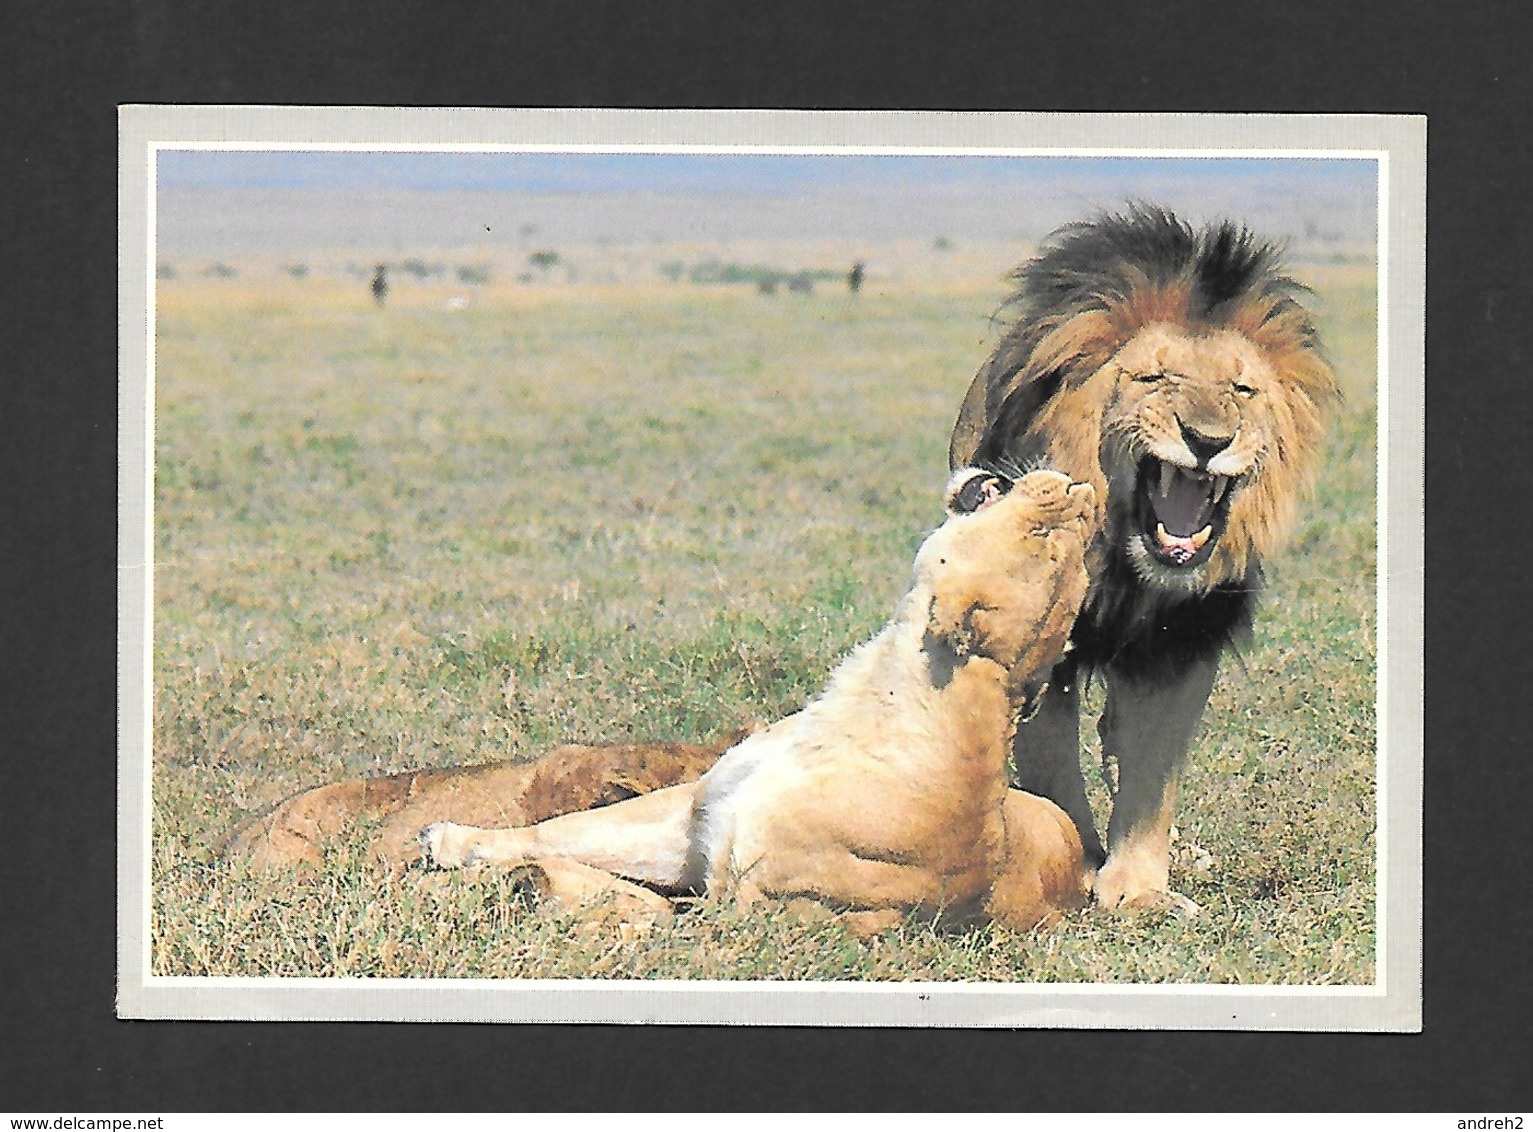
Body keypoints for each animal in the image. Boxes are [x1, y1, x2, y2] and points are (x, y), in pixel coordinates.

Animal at [420, 466, 1091, 932]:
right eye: (1061, 539)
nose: (1081, 488)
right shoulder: (697, 814)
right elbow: (563, 830)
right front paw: (450, 840)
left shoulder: (750, 911)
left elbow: (642, 904)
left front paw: (527, 882)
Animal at [950, 202, 1336, 914]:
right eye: (1153, 378)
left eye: (1243, 390)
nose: (1207, 440)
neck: (1125, 570)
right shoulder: (1043, 645)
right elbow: (1050, 763)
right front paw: (1071, 858)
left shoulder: (1182, 644)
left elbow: (1153, 764)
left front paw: (1135, 890)